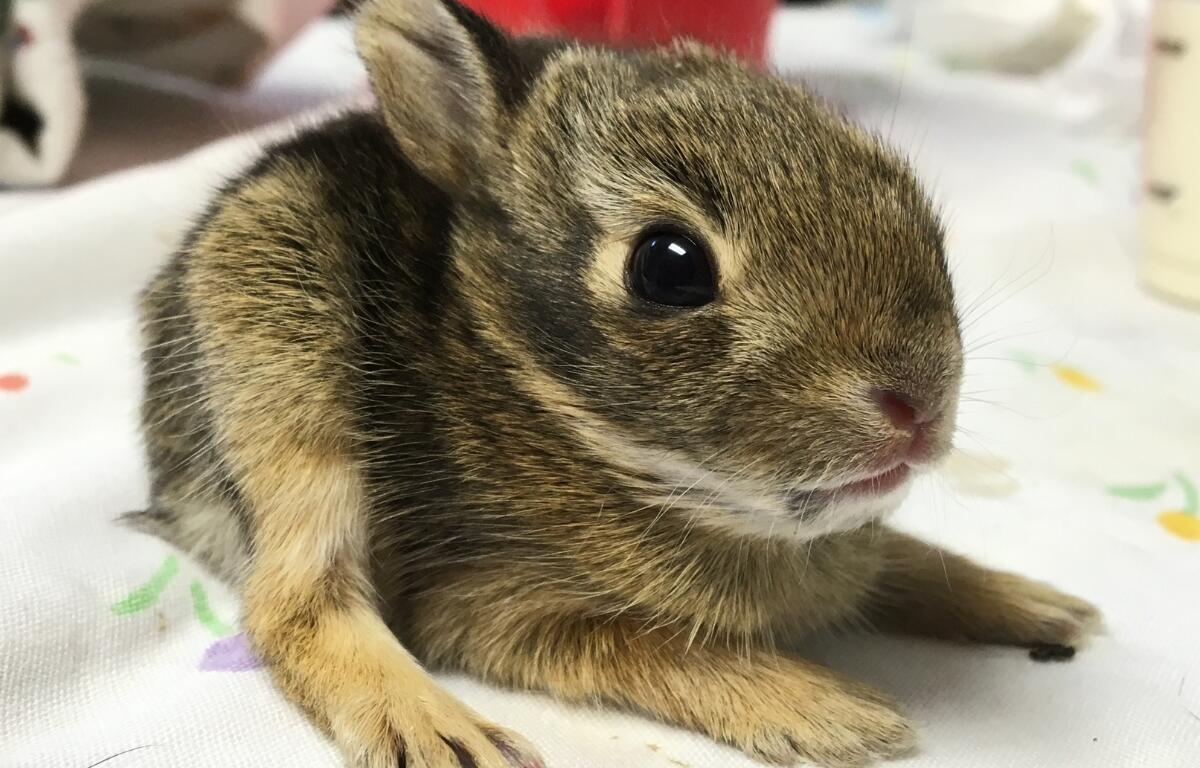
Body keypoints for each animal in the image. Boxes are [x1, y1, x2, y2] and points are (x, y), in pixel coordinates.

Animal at [131, 0, 1102, 766]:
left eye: (901, 190)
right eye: (669, 267)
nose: (919, 406)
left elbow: (902, 558)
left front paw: (1044, 607)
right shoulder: (488, 603)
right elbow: (657, 646)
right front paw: (836, 715)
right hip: (279, 352)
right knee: (293, 605)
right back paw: (447, 734)